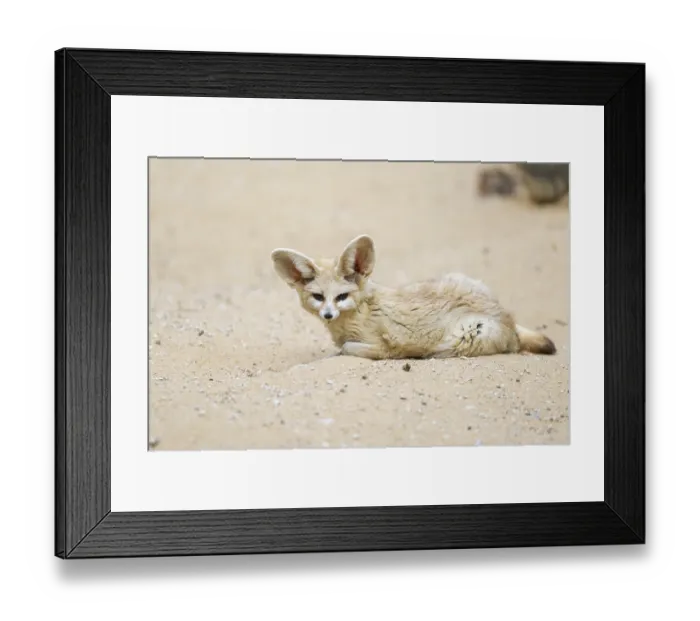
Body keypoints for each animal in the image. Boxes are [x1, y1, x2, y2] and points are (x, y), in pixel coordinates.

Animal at [271, 235, 556, 360]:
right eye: (318, 297)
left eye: (342, 296)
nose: (328, 314)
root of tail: (506, 316)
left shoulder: (383, 347)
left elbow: (346, 348)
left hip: (461, 337)